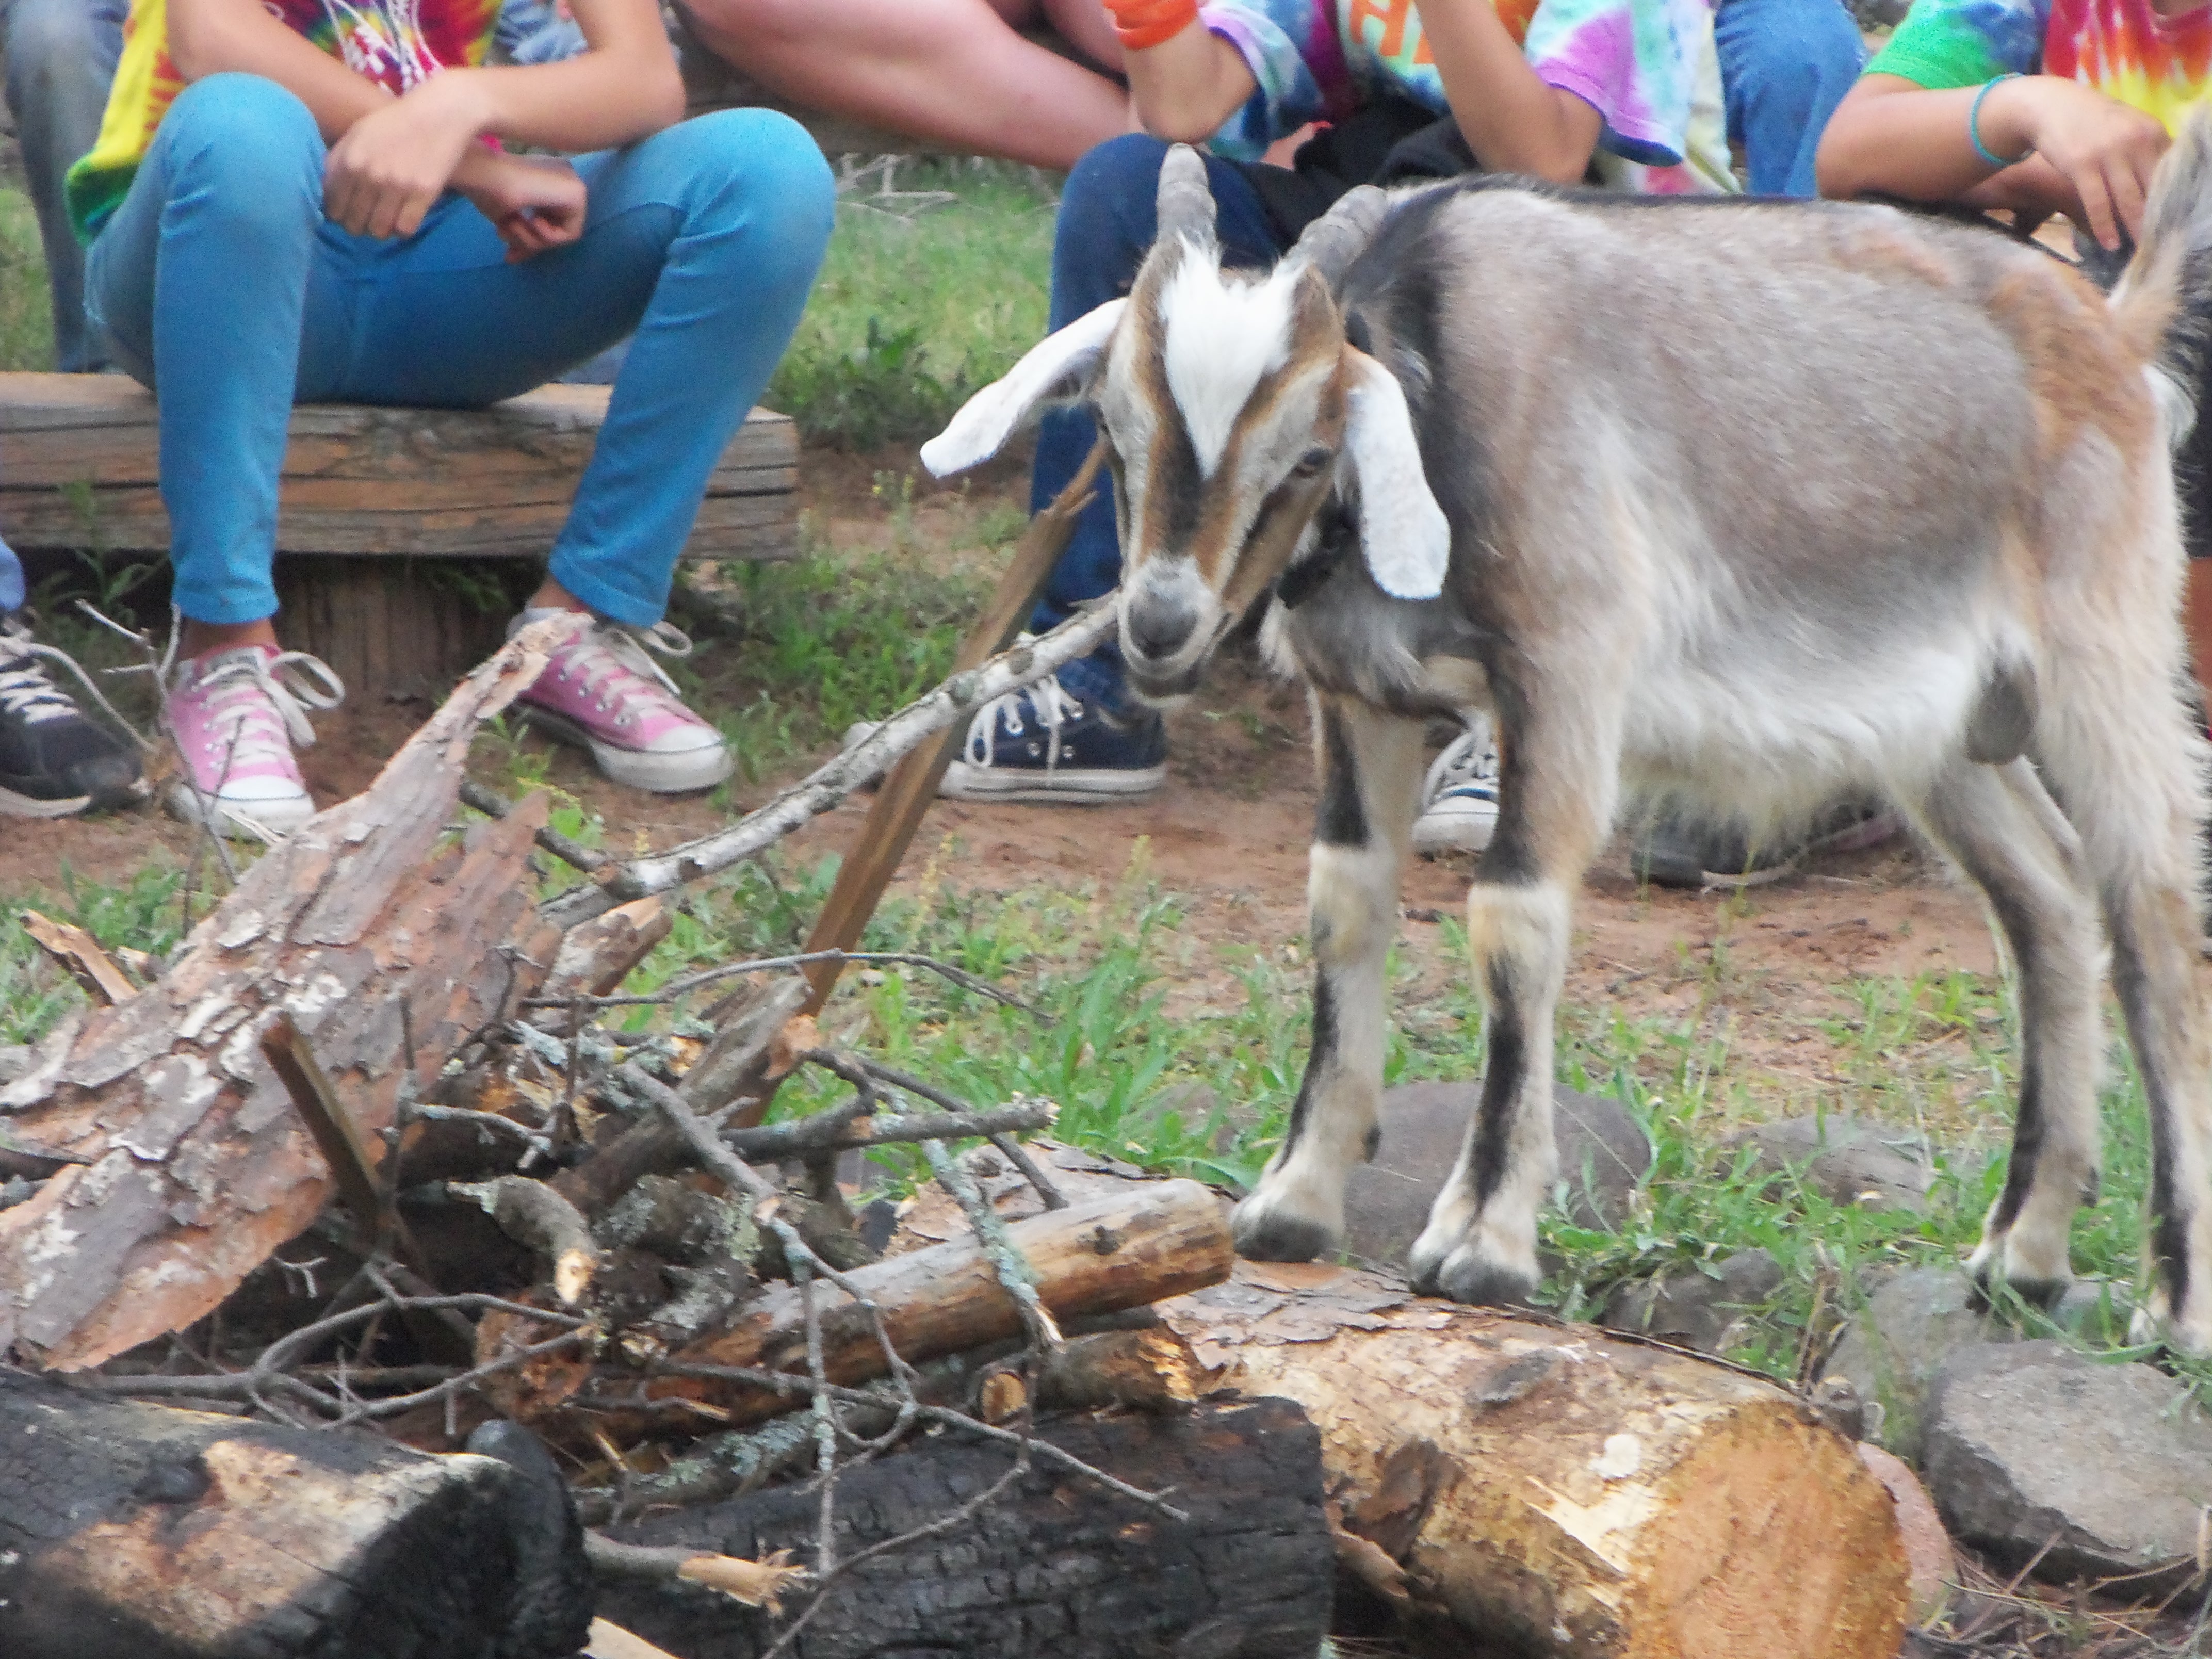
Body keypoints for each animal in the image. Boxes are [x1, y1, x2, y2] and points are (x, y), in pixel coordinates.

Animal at [919, 133, 2212, 1352]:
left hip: (2101, 653)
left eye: (1308, 450)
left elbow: (1512, 922)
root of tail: (2109, 330)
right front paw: (1292, 1202)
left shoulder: (1563, 674)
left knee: (2151, 920)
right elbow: (1342, 902)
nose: (1160, 630)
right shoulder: (1361, 700)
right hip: (1941, 727)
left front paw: (1481, 1239)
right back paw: (2022, 1256)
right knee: (2046, 904)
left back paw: (2172, 1308)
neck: (1435, 385)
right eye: (1113, 428)